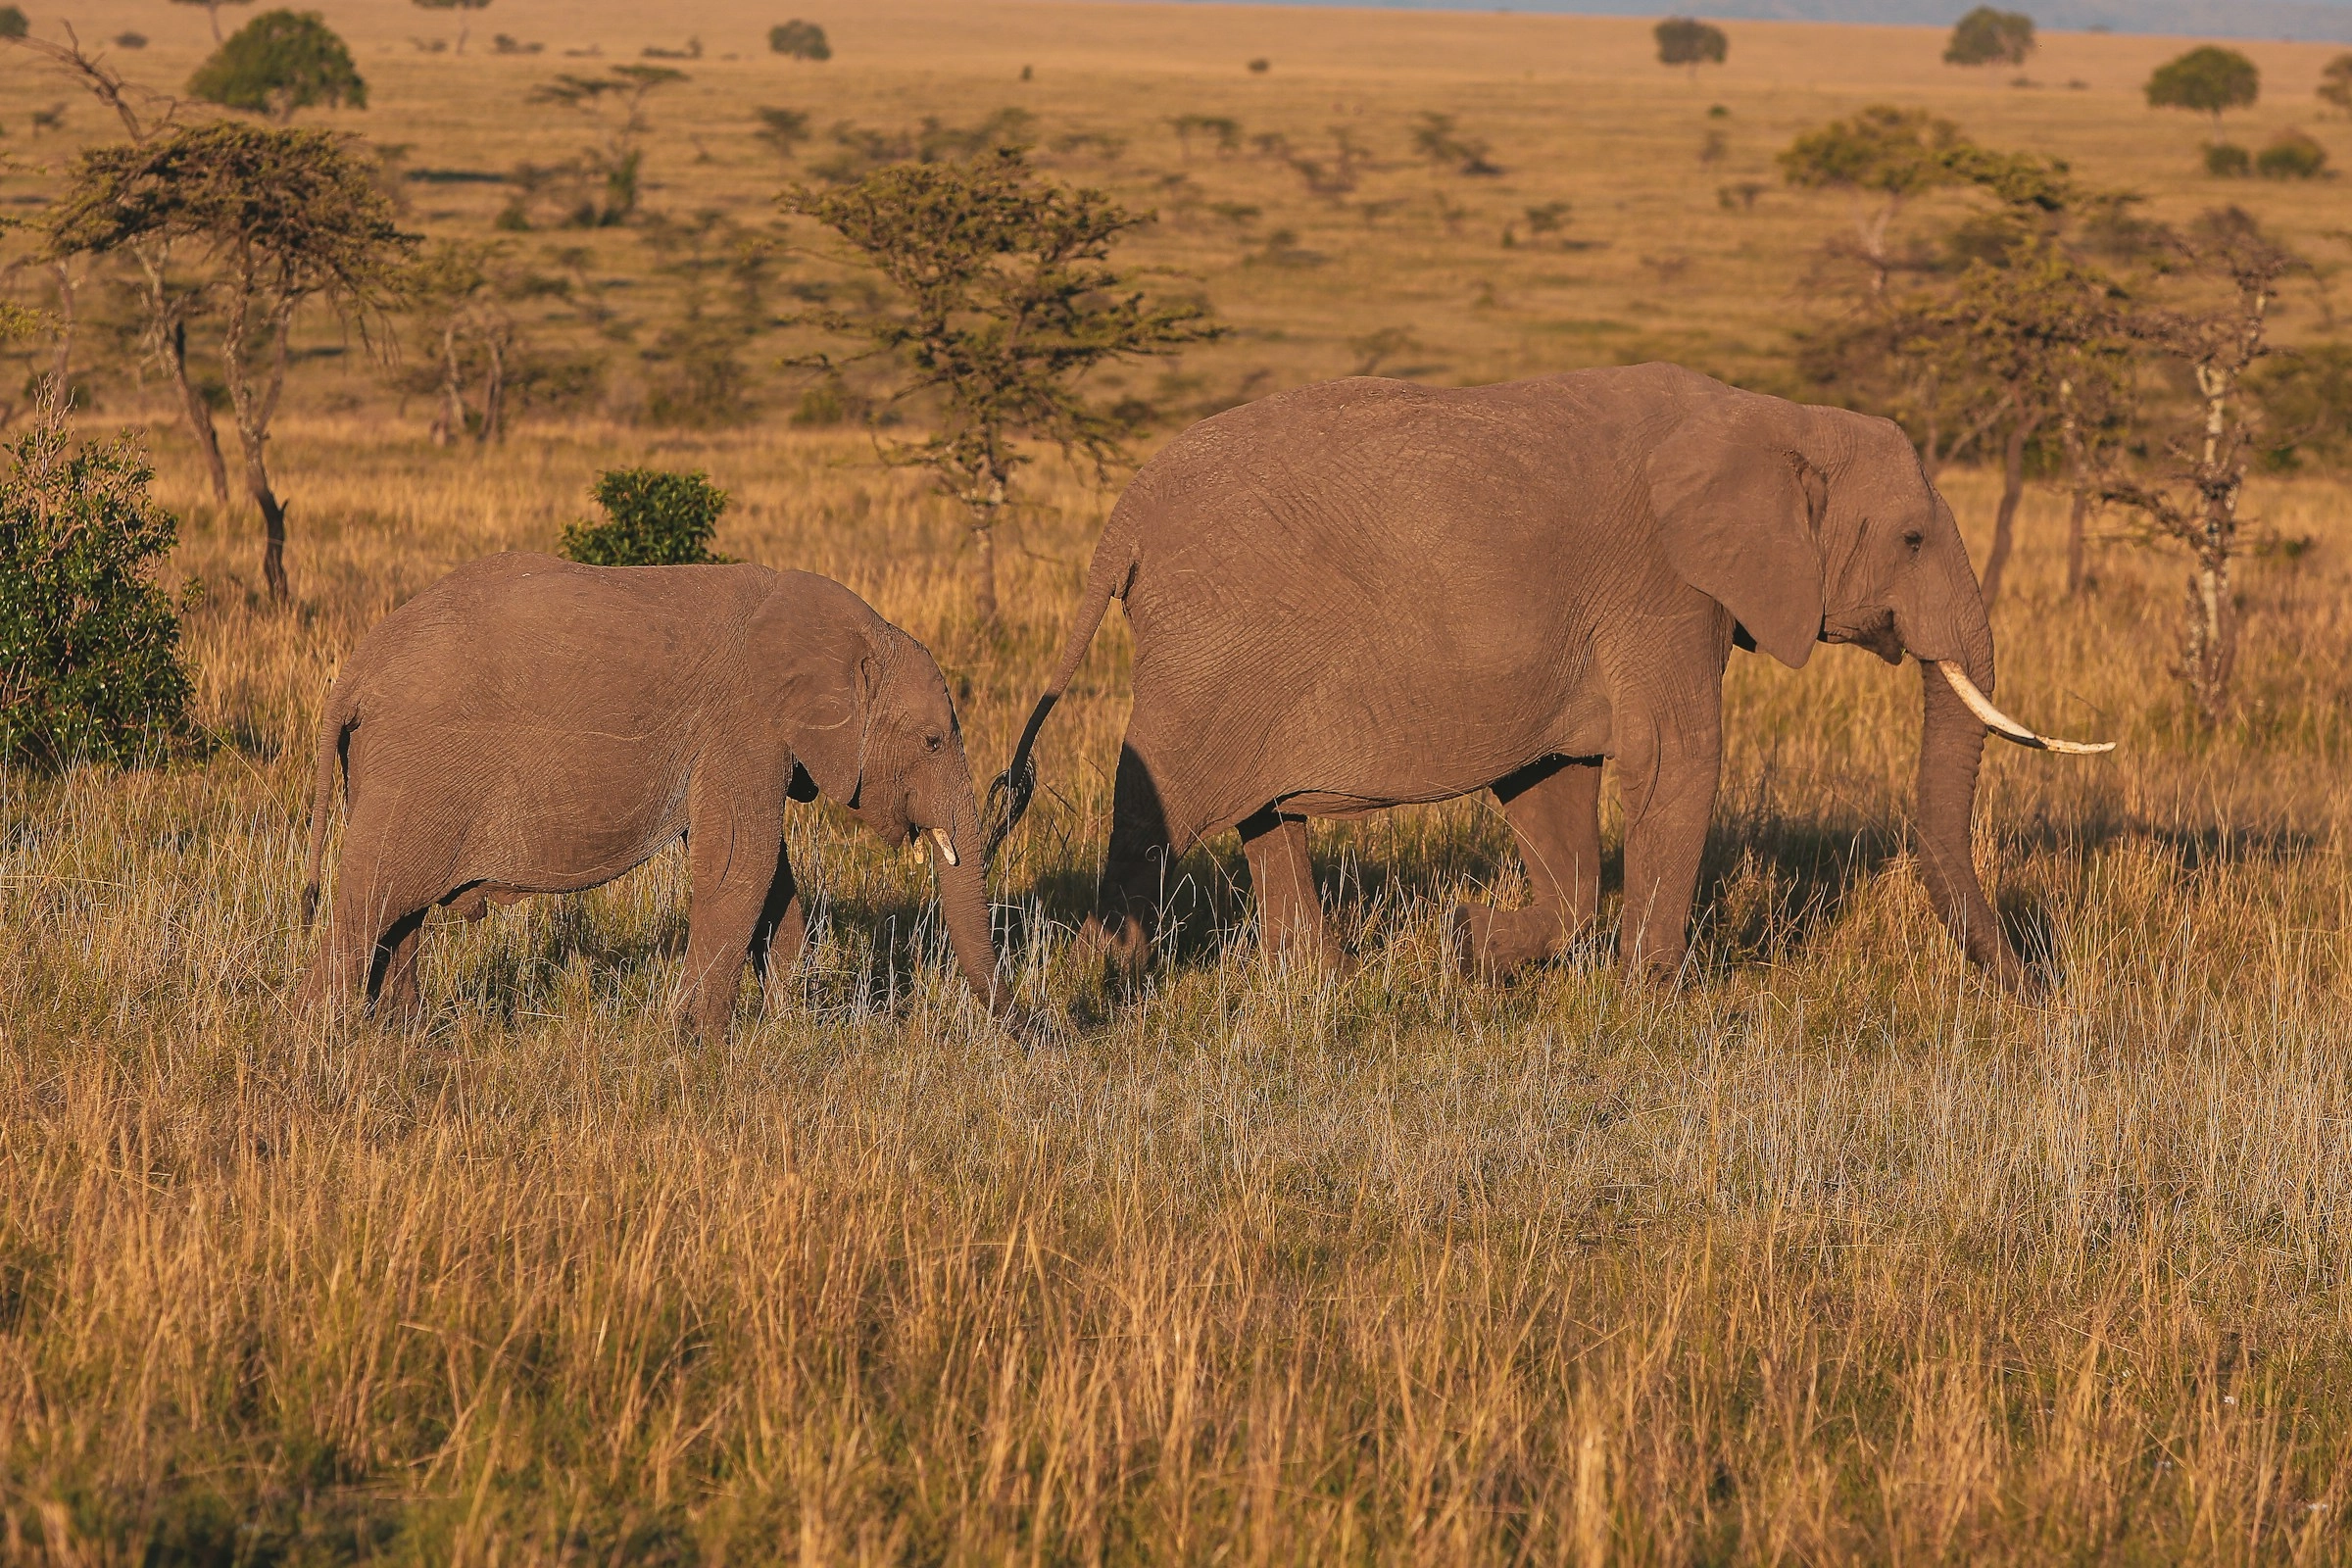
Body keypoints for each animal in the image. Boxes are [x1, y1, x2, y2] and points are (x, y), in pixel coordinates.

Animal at [297, 552, 1016, 1037]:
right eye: (932, 742)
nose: (1023, 1030)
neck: (851, 630)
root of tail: (354, 671)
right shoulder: (742, 724)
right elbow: (741, 869)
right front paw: (698, 1039)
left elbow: (772, 883)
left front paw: (785, 1026)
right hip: (417, 766)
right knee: (371, 901)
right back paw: (329, 1037)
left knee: (401, 914)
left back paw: (406, 1034)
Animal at [989, 363, 2110, 987]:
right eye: (1914, 537)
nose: (2036, 992)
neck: (1774, 417)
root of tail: (1123, 519)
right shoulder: (1664, 586)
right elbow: (1677, 761)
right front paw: (1651, 1001)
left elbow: (1556, 787)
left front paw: (1466, 950)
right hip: (1212, 646)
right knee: (1159, 812)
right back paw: (1106, 984)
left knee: (1270, 821)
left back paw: (1321, 983)